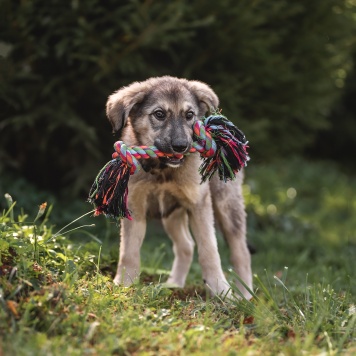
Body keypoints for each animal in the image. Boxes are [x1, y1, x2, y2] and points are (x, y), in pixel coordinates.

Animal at [104, 76, 252, 298]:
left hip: (226, 205)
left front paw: (220, 289)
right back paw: (173, 285)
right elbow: (129, 251)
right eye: (159, 114)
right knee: (186, 246)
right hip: (171, 214)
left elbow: (209, 250)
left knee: (241, 253)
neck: (163, 171)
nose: (181, 146)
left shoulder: (198, 203)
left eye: (189, 115)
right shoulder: (134, 206)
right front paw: (125, 284)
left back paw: (245, 296)